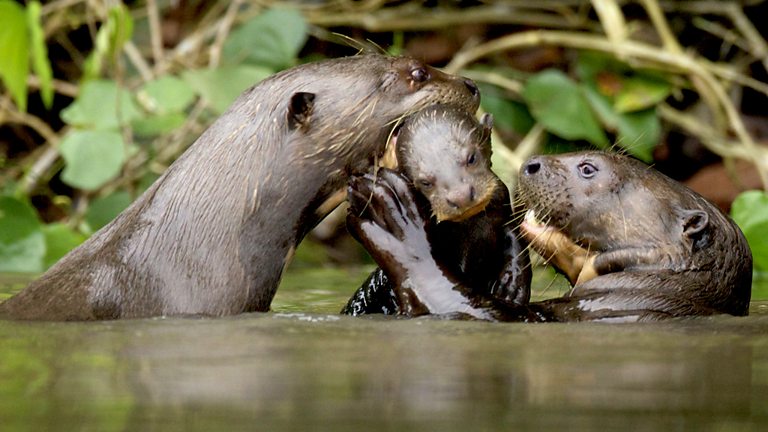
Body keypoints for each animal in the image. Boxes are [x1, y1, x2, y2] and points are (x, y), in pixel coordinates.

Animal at [344, 106, 532, 318]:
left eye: (471, 158)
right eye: (425, 182)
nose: (460, 196)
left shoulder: (503, 208)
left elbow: (516, 241)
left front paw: (512, 284)